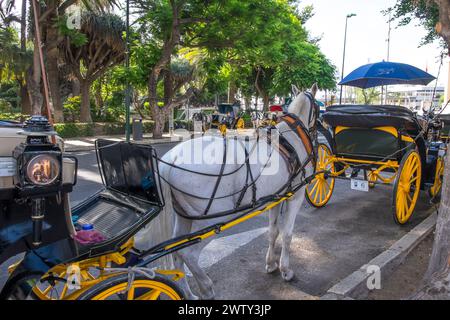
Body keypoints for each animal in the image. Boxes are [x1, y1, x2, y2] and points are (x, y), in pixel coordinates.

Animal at [146, 84, 318, 298]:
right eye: (318, 107)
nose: (318, 128)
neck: (292, 138)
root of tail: (170, 160)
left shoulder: (275, 197)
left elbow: (273, 231)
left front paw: (271, 264)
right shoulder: (296, 195)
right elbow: (287, 234)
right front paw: (286, 270)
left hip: (183, 214)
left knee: (177, 251)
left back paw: (188, 293)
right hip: (212, 219)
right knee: (189, 254)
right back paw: (206, 287)